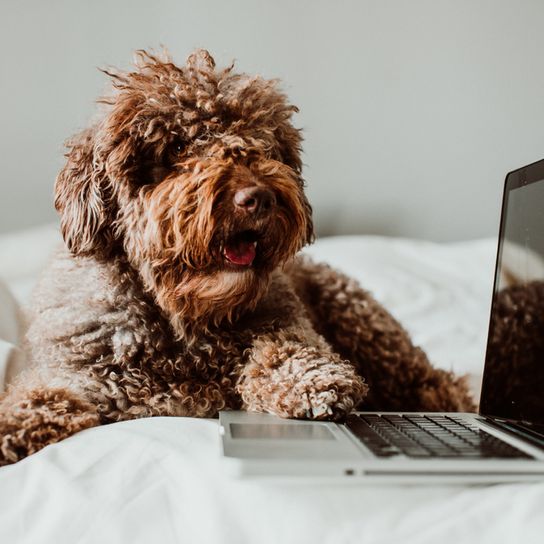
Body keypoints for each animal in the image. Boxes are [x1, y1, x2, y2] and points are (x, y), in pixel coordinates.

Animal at [0, 51, 472, 466]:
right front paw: (9, 427)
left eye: (262, 145)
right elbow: (41, 398)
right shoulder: (81, 381)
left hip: (363, 323)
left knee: (436, 383)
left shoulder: (286, 325)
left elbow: (285, 348)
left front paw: (313, 381)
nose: (258, 198)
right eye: (175, 149)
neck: (184, 324)